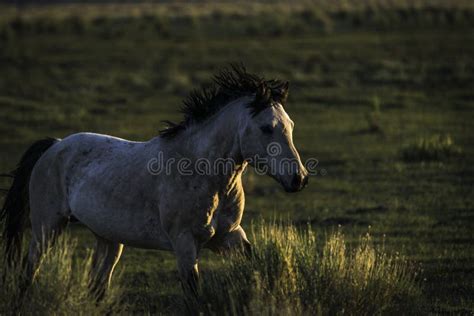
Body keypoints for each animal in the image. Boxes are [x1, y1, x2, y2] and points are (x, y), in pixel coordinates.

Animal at [0, 66, 308, 298]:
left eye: (291, 126)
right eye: (266, 128)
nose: (299, 178)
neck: (202, 172)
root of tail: (55, 145)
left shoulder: (228, 236)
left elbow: (255, 263)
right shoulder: (185, 244)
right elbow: (193, 295)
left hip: (108, 238)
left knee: (97, 286)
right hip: (47, 227)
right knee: (29, 272)